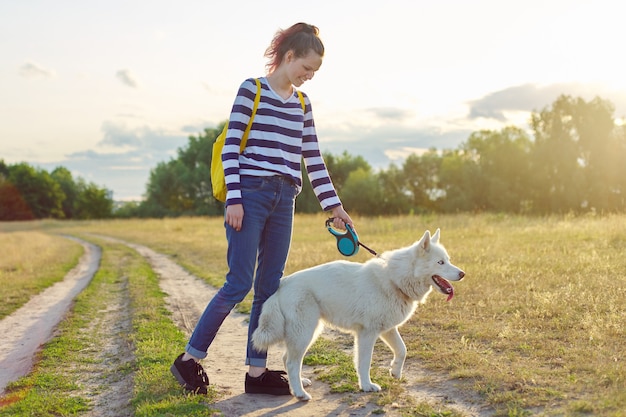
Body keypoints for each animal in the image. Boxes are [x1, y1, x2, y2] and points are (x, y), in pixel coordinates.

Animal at [250, 228, 464, 400]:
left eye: (448, 261)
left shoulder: (388, 330)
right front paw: (367, 386)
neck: (395, 280)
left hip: (308, 333)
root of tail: (282, 285)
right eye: (440, 262)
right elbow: (364, 362)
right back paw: (300, 394)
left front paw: (395, 371)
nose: (462, 274)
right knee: (293, 362)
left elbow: (402, 350)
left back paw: (300, 384)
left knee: (287, 359)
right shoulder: (367, 334)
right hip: (305, 333)